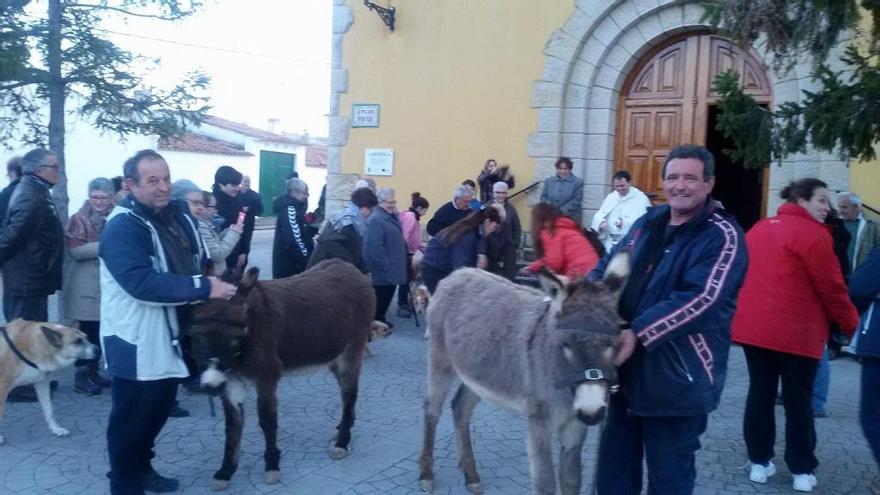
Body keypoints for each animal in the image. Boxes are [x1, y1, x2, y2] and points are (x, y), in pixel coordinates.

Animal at [0, 320, 99, 448]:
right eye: (77, 341)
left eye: (86, 337)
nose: (99, 350)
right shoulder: (2, 387)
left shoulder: (42, 383)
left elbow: (49, 410)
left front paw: (56, 429)